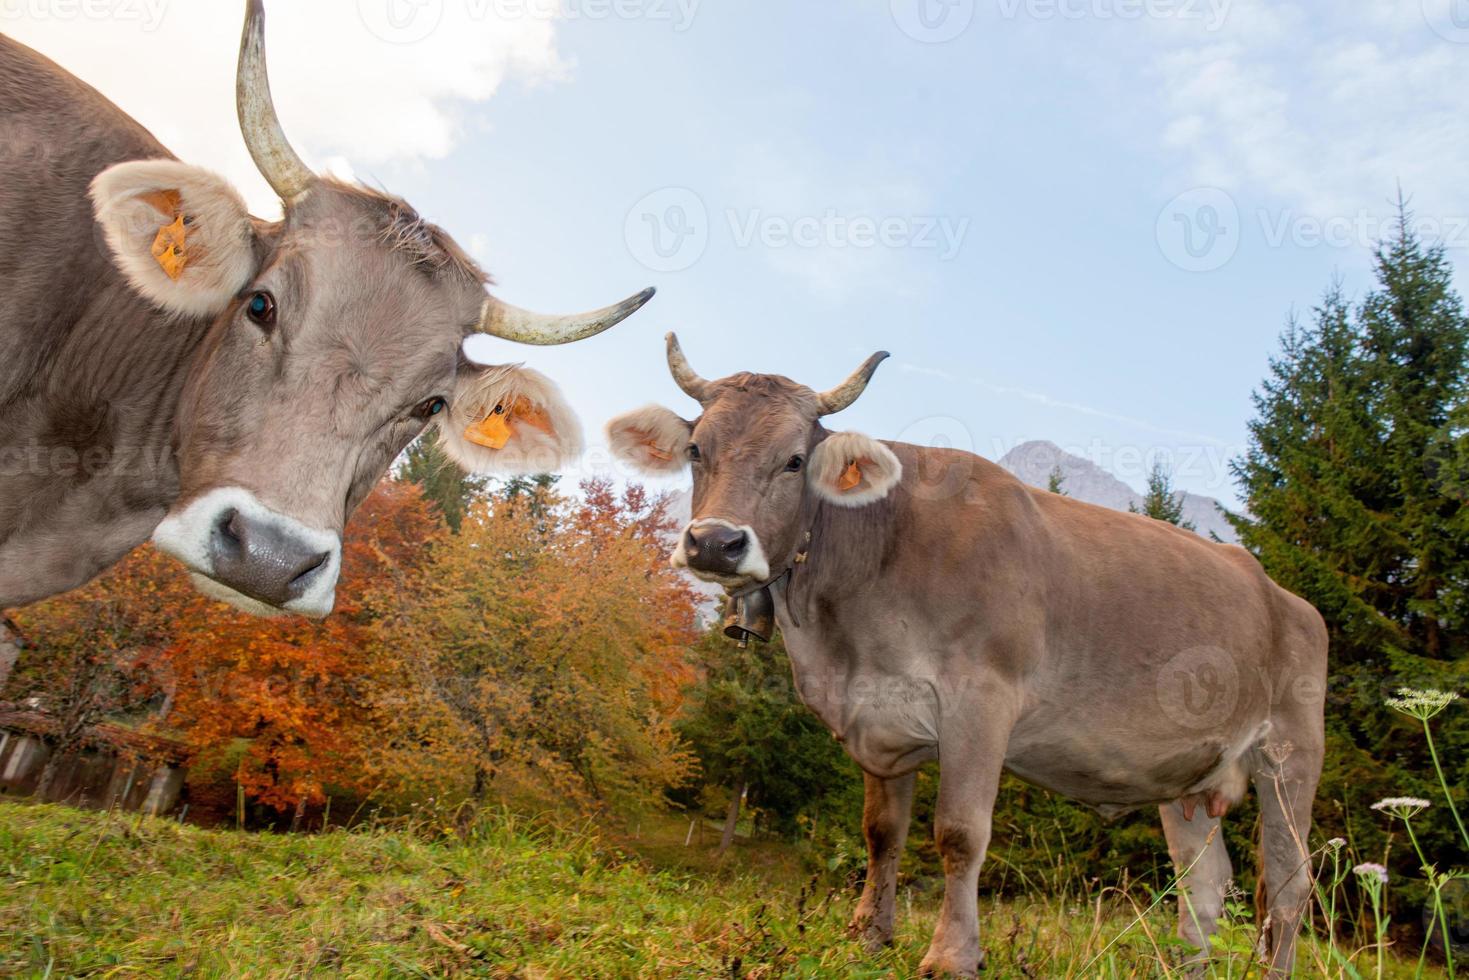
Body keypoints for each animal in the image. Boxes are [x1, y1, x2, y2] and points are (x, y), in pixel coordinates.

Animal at [608, 334, 1333, 975]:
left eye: (792, 460)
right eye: (697, 449)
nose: (714, 542)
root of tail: (1279, 592)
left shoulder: (981, 703)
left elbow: (958, 834)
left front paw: (952, 955)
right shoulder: (879, 717)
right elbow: (882, 831)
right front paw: (868, 935)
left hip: (1289, 753)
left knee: (1287, 885)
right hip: (1189, 778)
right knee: (1203, 888)